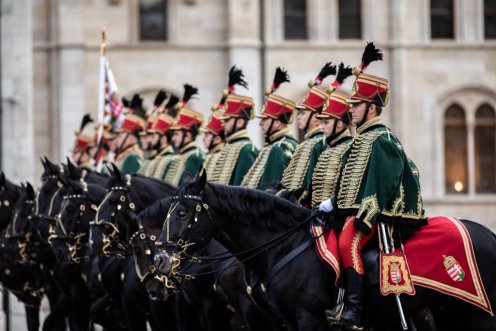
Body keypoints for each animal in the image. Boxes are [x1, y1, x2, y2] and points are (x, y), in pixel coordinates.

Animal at [153, 174, 496, 331]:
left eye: (182, 212)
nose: (160, 260)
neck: (283, 247)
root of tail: (488, 233)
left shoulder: (308, 319)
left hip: (479, 313)